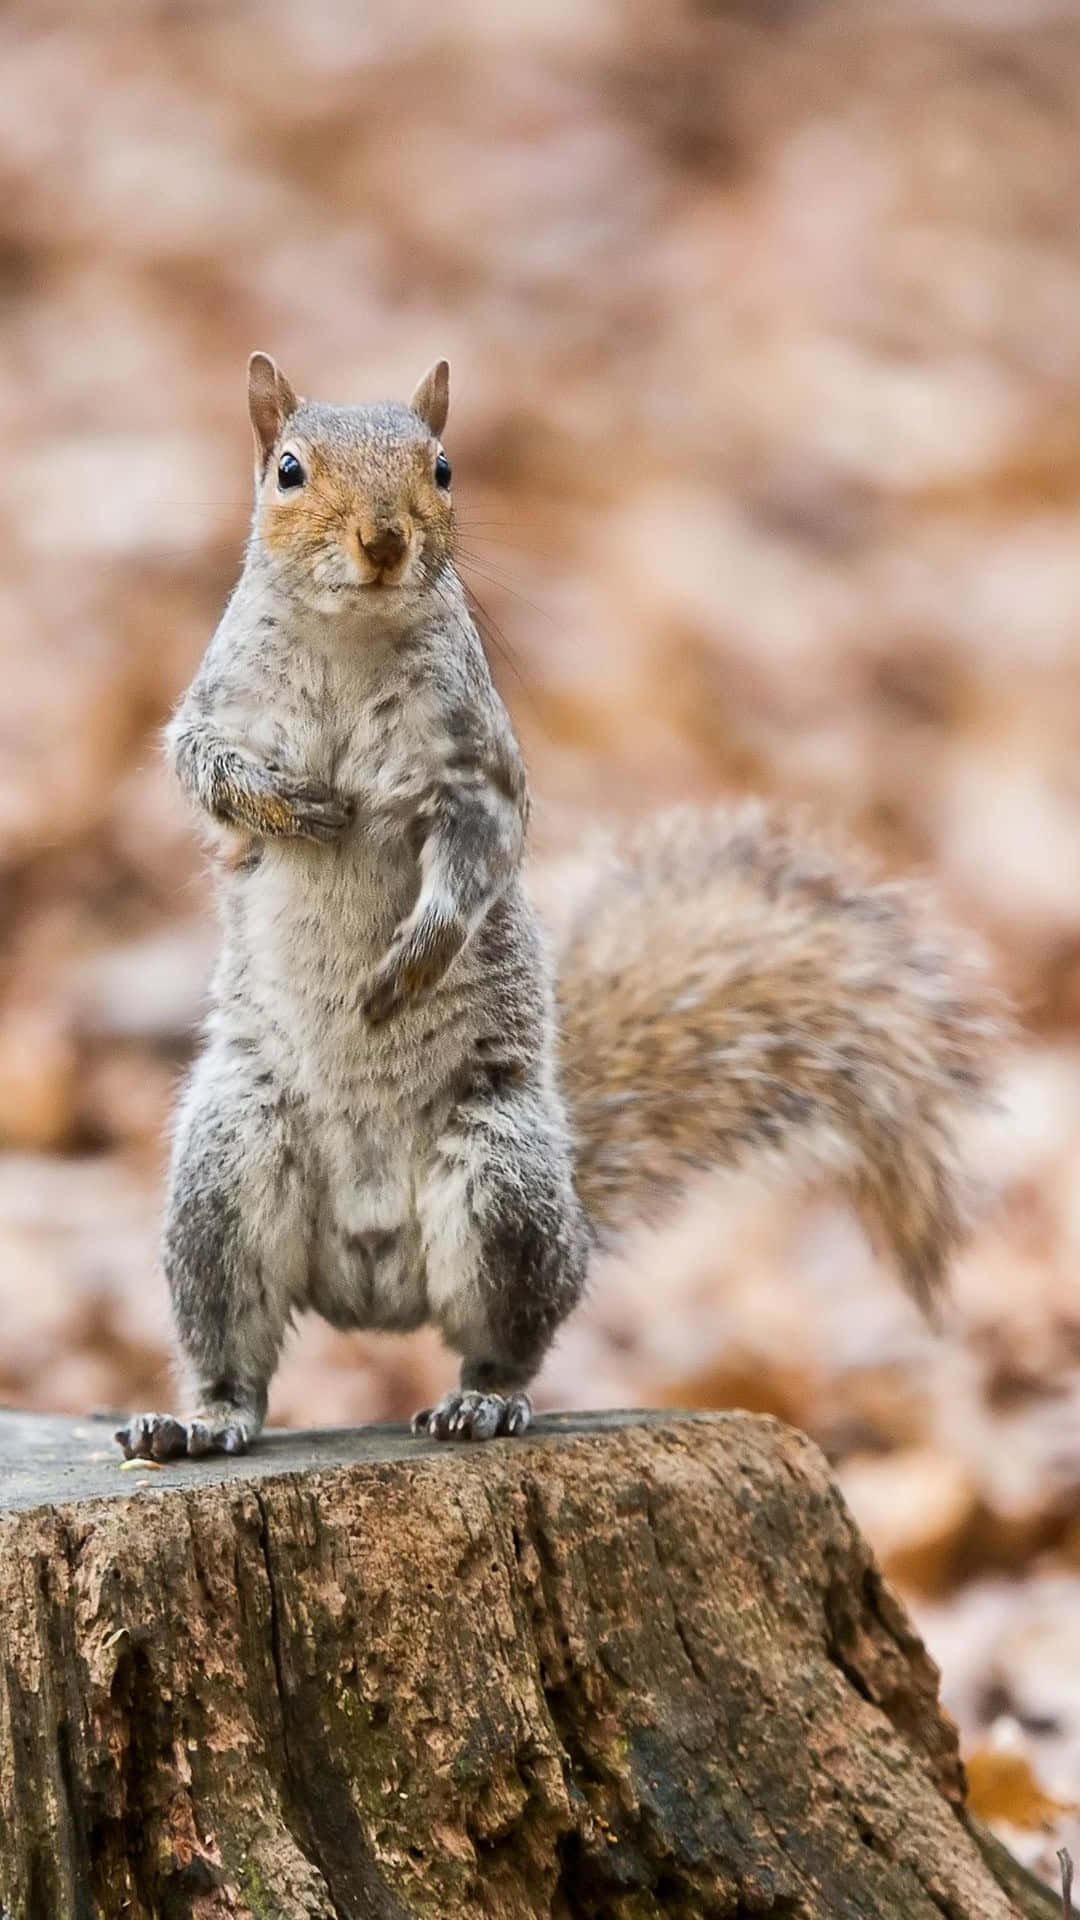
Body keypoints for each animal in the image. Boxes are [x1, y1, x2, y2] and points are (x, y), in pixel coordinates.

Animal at [111, 353, 991, 1459]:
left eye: (444, 468)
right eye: (287, 470)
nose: (385, 540)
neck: (348, 642)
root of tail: (371, 1287)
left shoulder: (474, 766)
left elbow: (477, 857)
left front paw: (408, 966)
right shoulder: (216, 707)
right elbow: (200, 765)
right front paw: (286, 807)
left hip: (503, 1185)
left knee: (510, 1339)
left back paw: (479, 1402)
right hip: (226, 1174)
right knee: (235, 1352)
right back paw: (200, 1422)